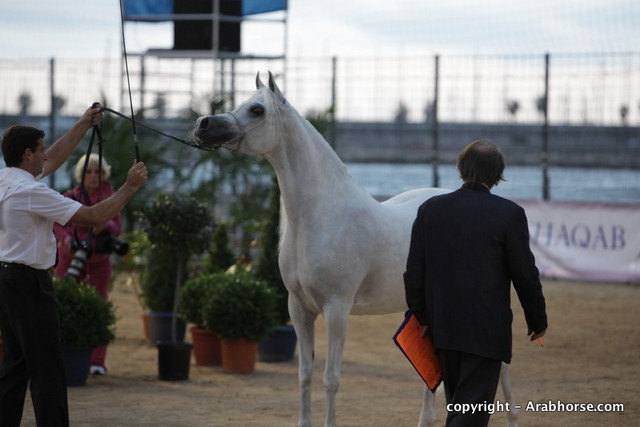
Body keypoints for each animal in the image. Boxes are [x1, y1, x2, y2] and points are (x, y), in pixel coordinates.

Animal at [193, 72, 519, 427]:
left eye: (256, 109)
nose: (203, 125)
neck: (322, 215)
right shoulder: (299, 309)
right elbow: (304, 375)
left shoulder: (337, 309)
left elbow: (331, 378)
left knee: (501, 368)